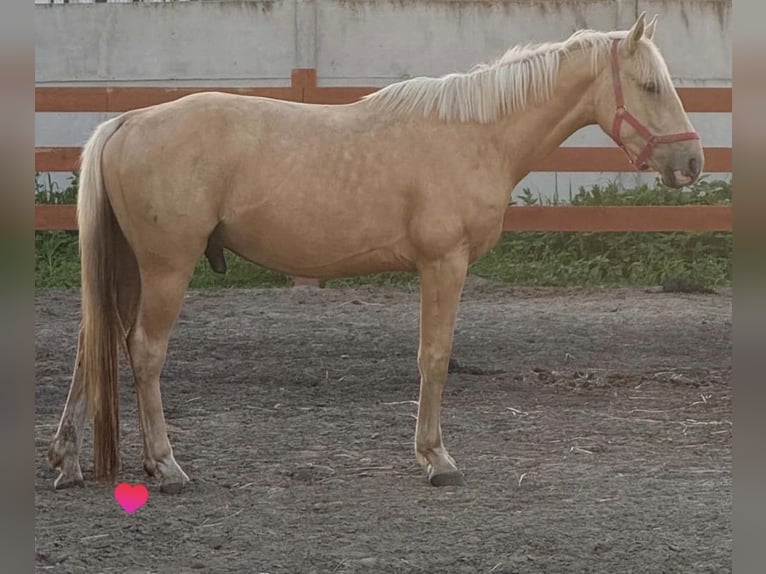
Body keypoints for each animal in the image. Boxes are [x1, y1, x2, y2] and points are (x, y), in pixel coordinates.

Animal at [47, 13, 703, 493]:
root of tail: (128, 120)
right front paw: (436, 459)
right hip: (166, 269)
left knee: (91, 345)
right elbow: (434, 358)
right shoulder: (444, 265)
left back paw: (68, 458)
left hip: (129, 268)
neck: (476, 134)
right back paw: (166, 466)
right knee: (144, 352)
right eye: (650, 86)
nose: (692, 162)